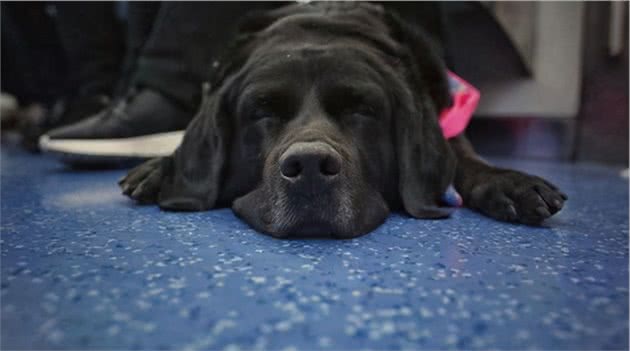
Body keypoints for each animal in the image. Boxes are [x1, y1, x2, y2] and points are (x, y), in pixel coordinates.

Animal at [118, 2, 568, 239]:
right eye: (262, 111)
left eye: (361, 110)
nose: (310, 166)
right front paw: (160, 168)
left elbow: (467, 159)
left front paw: (510, 182)